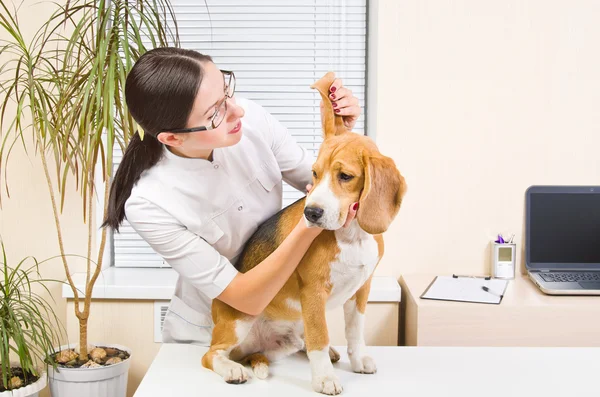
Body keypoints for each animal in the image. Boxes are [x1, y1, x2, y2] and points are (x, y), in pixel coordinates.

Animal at [203, 71, 408, 392]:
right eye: (314, 173)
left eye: (345, 176)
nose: (310, 213)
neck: (351, 236)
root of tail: (256, 350)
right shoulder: (314, 292)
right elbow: (319, 337)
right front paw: (324, 378)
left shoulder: (362, 289)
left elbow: (355, 330)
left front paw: (358, 359)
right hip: (238, 321)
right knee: (211, 354)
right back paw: (231, 369)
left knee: (301, 341)